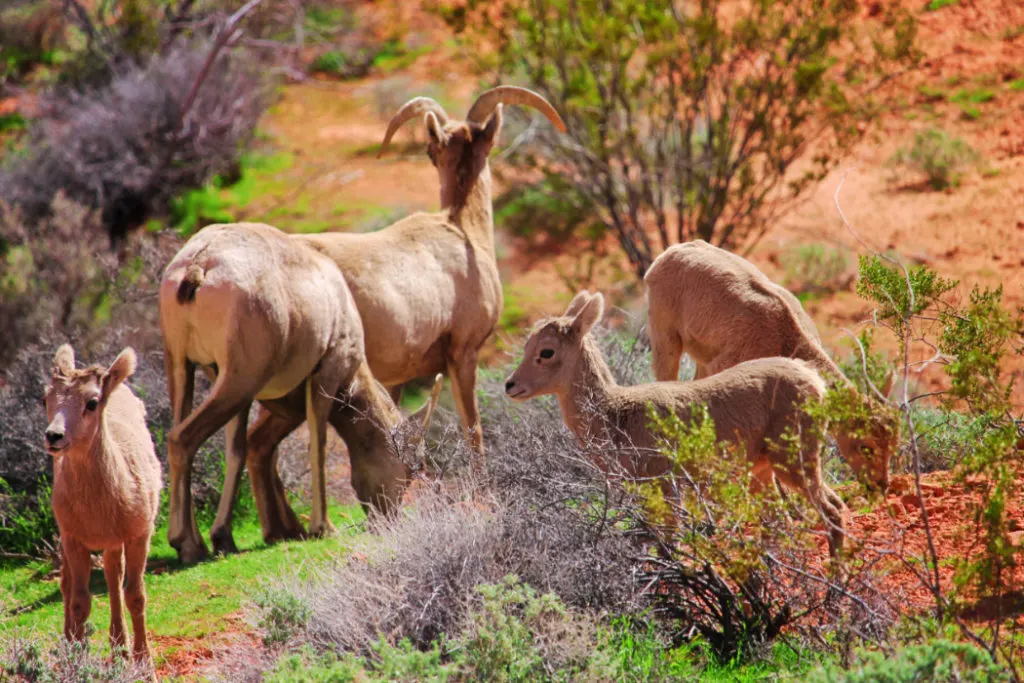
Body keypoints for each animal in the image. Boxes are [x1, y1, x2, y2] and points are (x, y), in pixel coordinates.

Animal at [45, 342, 160, 667]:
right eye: (46, 398)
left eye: (92, 402)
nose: (54, 436)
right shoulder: (73, 536)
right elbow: (80, 602)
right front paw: (76, 659)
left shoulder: (139, 533)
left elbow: (135, 595)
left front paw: (145, 665)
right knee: (70, 583)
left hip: (114, 540)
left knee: (113, 577)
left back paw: (120, 648)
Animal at [159, 222, 368, 565]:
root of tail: (198, 265)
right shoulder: (325, 374)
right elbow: (318, 444)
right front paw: (322, 528)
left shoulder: (230, 384)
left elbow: (237, 451)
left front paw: (224, 538)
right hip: (239, 380)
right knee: (182, 438)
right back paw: (187, 544)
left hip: (184, 367)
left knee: (179, 435)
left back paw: (198, 542)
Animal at [503, 292, 847, 557]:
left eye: (547, 351)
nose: (511, 385)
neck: (616, 416)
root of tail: (815, 382)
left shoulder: (667, 487)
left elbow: (668, 545)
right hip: (763, 472)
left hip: (795, 463)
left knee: (832, 510)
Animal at [647, 241, 897, 497]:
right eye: (865, 446)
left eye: (893, 445)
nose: (880, 485)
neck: (784, 339)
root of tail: (671, 252)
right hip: (665, 337)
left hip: (701, 358)